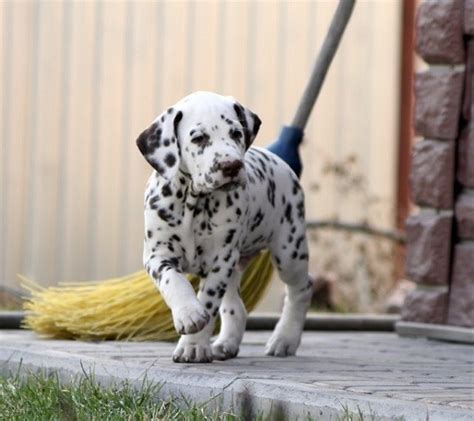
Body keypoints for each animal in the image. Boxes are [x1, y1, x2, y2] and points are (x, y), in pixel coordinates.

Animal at [137, 92, 312, 360]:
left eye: (236, 133)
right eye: (198, 138)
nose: (231, 166)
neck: (194, 202)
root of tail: (281, 161)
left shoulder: (220, 260)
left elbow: (208, 302)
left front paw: (193, 346)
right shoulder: (158, 255)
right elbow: (173, 281)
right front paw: (188, 314)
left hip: (288, 252)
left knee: (301, 289)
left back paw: (285, 339)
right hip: (235, 267)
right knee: (235, 307)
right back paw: (226, 343)